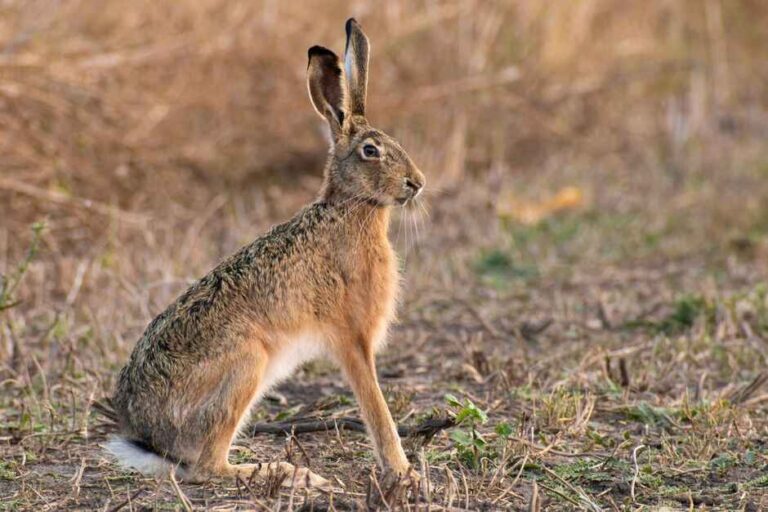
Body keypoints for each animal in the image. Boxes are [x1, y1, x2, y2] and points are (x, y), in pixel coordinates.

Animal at [99, 18, 425, 488]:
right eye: (371, 151)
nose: (417, 182)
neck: (350, 208)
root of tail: (147, 438)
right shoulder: (353, 337)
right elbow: (376, 408)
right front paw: (404, 472)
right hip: (247, 363)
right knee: (207, 468)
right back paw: (292, 474)